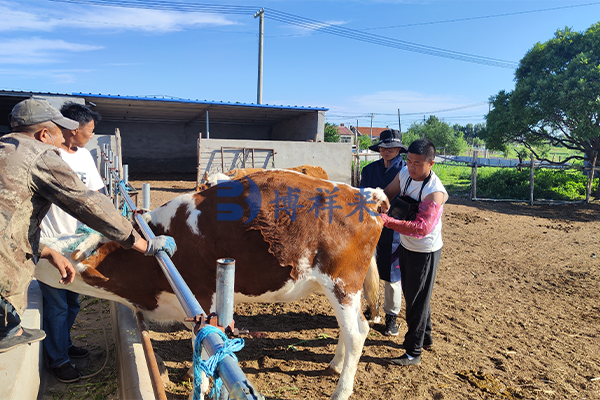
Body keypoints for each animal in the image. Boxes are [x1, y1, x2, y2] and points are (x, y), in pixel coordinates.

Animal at [35, 170, 386, 400]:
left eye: (47, 254)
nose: (31, 251)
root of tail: (365, 195)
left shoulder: (202, 300)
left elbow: (204, 341)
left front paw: (199, 382)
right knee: (348, 329)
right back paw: (335, 364)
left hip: (341, 282)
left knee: (358, 331)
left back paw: (340, 391)